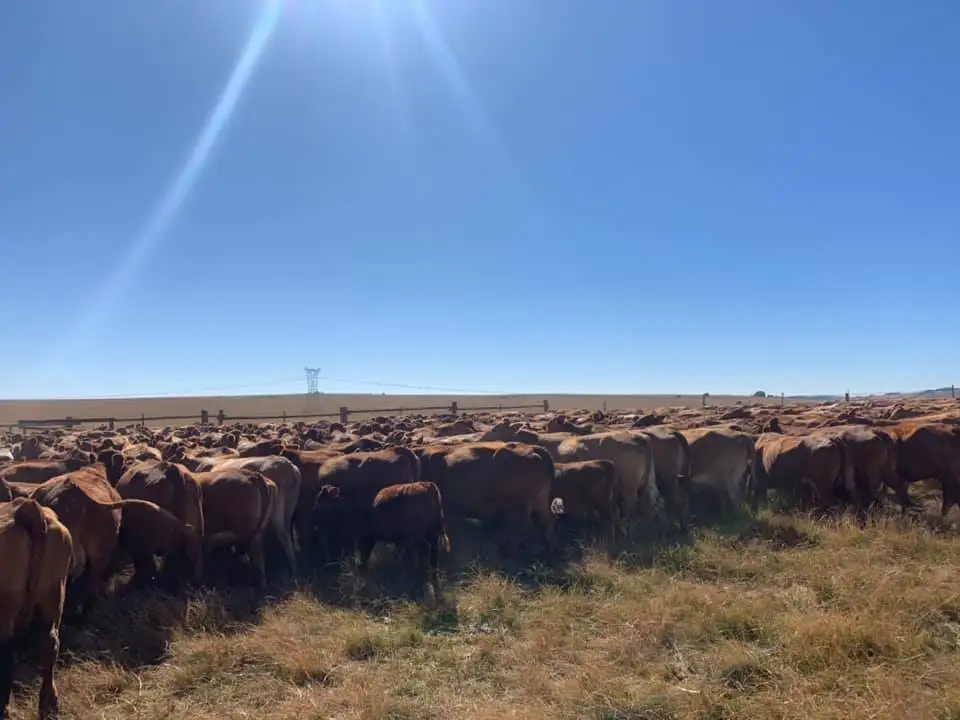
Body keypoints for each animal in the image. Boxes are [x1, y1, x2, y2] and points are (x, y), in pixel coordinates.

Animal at [313, 481, 451, 598]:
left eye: (321, 499)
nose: (315, 517)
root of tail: (428, 485)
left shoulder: (365, 539)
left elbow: (363, 561)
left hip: (420, 536)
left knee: (425, 550)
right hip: (433, 535)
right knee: (433, 555)